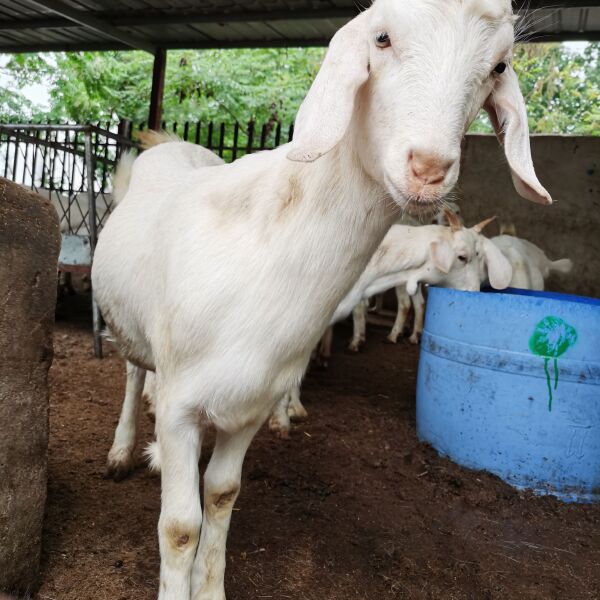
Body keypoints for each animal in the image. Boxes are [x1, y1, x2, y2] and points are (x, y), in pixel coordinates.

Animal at [92, 2, 552, 596]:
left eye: (498, 67)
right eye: (381, 38)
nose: (427, 169)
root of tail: (168, 143)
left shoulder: (250, 403)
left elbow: (221, 496)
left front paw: (211, 586)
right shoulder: (180, 407)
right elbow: (178, 526)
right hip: (129, 320)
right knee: (132, 374)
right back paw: (122, 449)